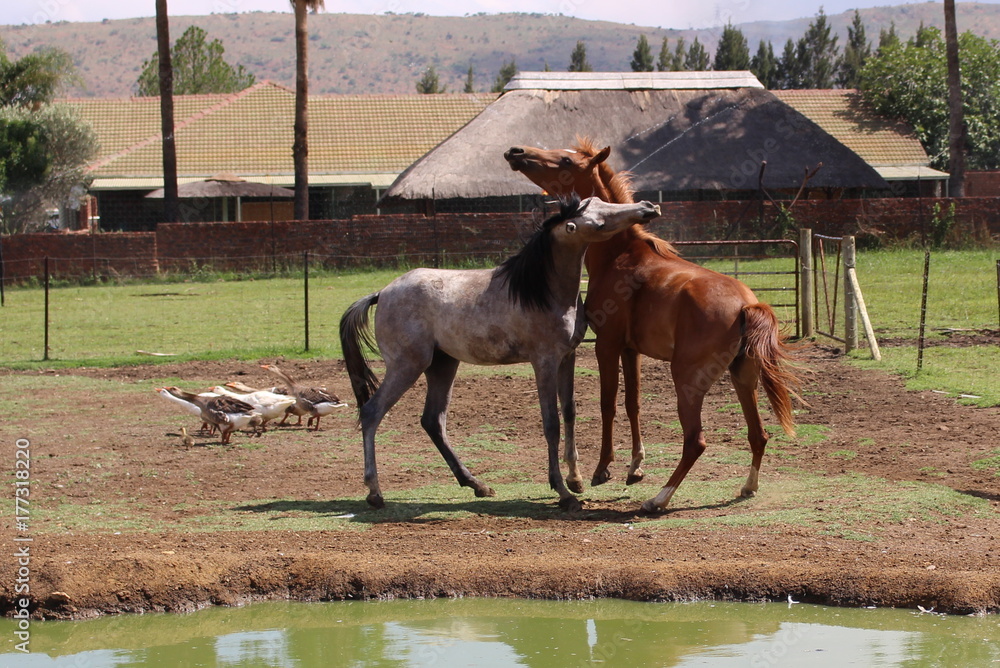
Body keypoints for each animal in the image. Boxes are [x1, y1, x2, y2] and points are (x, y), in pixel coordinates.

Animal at [339, 197, 661, 511]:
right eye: (598, 222)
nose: (648, 207)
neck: (542, 291)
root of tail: (382, 293)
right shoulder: (544, 362)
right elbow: (551, 423)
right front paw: (562, 492)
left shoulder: (566, 359)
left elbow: (569, 412)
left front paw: (576, 480)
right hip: (406, 366)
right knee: (371, 413)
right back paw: (375, 492)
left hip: (443, 365)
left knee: (433, 421)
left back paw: (476, 484)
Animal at [504, 138, 802, 513]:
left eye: (565, 161)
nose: (516, 151)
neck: (621, 254)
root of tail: (748, 305)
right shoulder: (632, 350)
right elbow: (633, 403)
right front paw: (635, 468)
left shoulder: (607, 344)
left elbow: (608, 403)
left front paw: (603, 469)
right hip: (742, 378)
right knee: (758, 434)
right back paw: (747, 488)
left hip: (687, 380)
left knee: (696, 441)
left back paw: (658, 499)